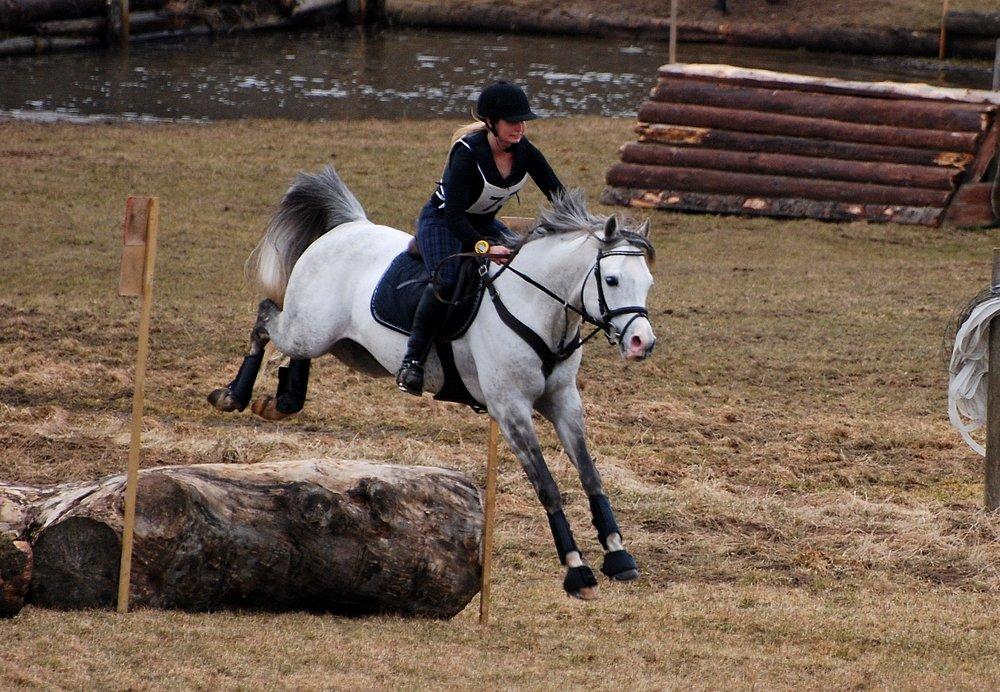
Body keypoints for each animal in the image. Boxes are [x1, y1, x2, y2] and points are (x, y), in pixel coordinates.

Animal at [208, 168, 660, 600]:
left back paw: (283, 399)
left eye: (648, 283)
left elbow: (590, 475)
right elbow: (547, 486)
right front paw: (577, 571)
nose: (643, 343)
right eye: (612, 280)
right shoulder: (510, 408)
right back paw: (233, 395)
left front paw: (618, 555)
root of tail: (350, 225)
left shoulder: (564, 402)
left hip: (348, 348)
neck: (537, 307)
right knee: (266, 316)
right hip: (309, 329)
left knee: (295, 346)